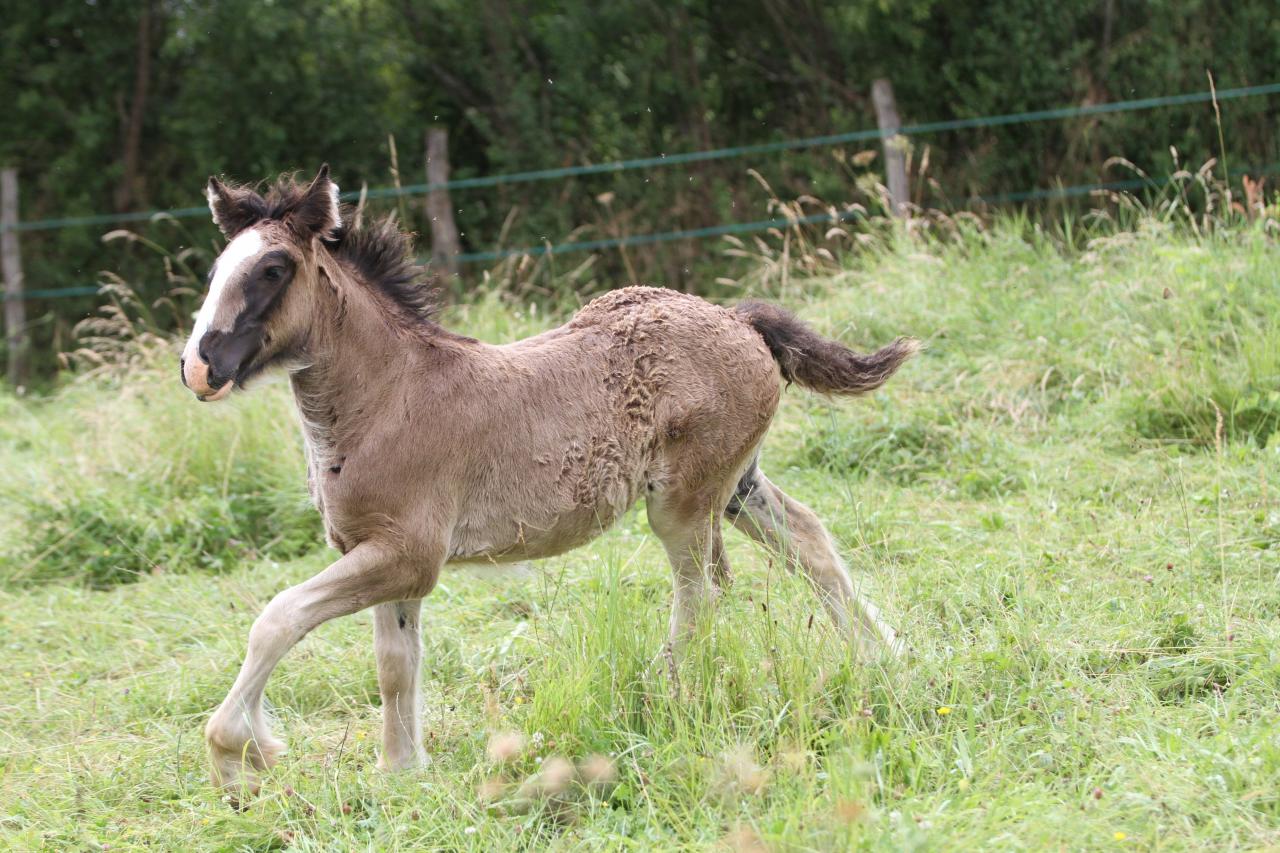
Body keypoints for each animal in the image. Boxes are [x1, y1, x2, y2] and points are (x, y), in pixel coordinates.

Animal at [180, 167, 916, 799]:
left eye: (272, 269)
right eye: (216, 271)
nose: (199, 367)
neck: (386, 397)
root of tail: (739, 320)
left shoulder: (407, 554)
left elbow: (277, 618)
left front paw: (238, 754)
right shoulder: (383, 555)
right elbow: (395, 664)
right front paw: (402, 771)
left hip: (682, 502)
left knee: (704, 592)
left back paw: (656, 695)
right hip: (737, 486)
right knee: (807, 540)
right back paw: (885, 656)